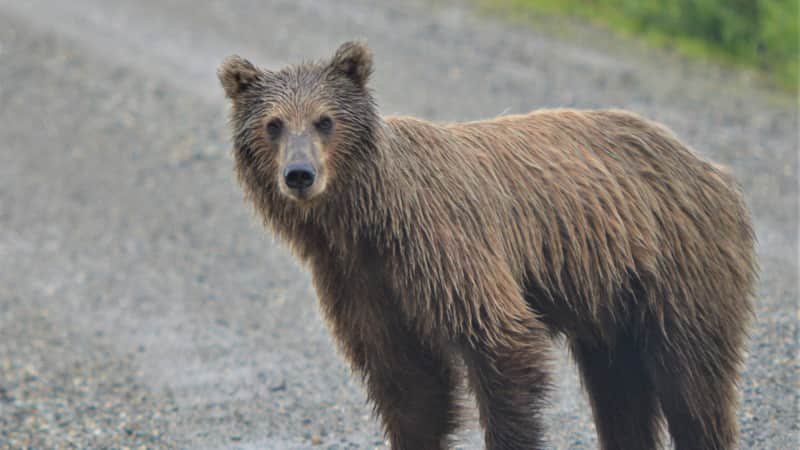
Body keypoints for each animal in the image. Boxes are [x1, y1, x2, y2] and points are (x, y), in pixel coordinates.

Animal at [217, 42, 756, 450]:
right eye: (273, 124)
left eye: (325, 120)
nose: (299, 174)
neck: (365, 222)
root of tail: (710, 166)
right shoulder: (361, 283)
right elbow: (408, 387)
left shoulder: (444, 247)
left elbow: (501, 345)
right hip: (612, 301)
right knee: (619, 389)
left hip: (680, 266)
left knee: (692, 383)